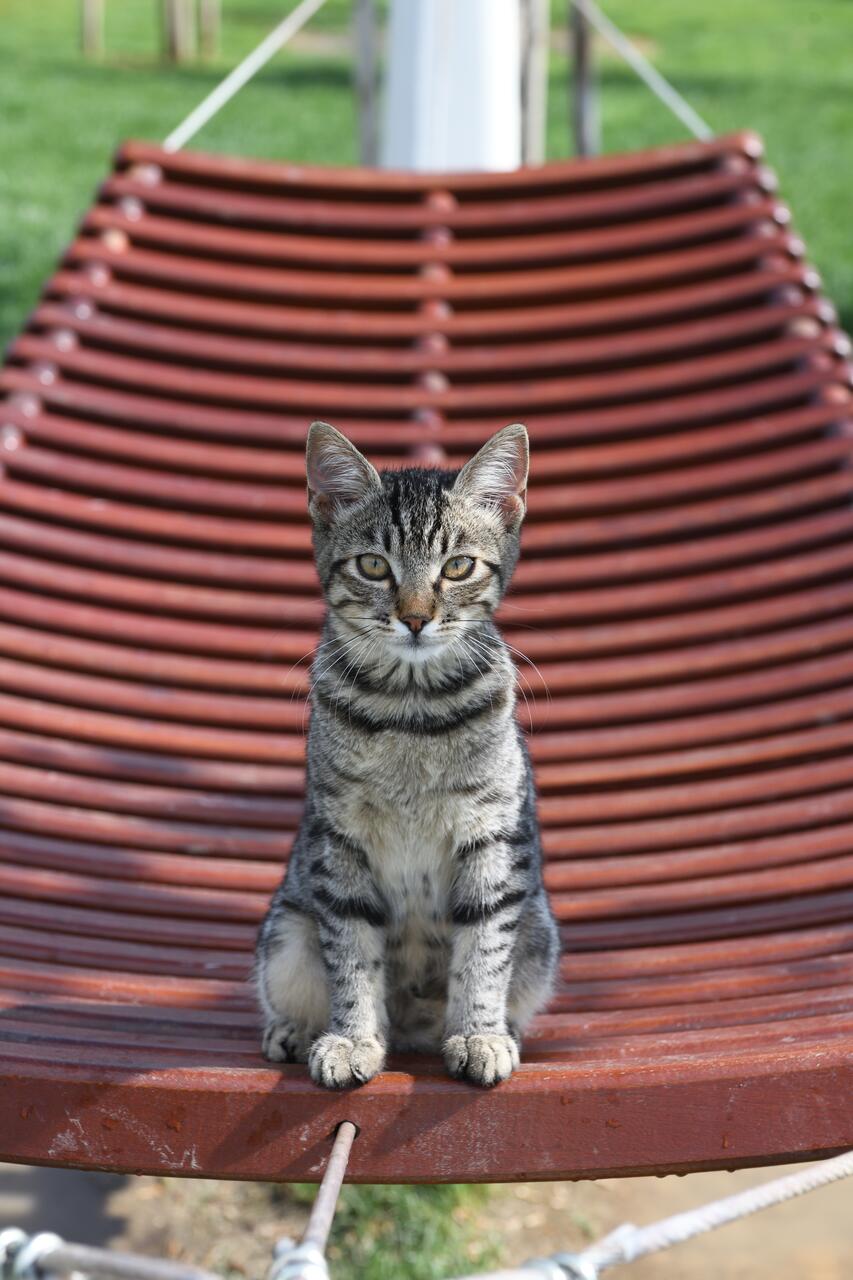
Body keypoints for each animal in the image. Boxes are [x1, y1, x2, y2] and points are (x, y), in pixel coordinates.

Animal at [255, 421, 560, 1089]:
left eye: (458, 566)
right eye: (373, 565)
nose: (416, 618)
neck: (410, 712)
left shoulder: (493, 838)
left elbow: (483, 953)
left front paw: (478, 1034)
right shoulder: (339, 844)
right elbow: (351, 956)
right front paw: (352, 1039)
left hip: (540, 940)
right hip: (285, 934)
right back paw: (296, 1030)